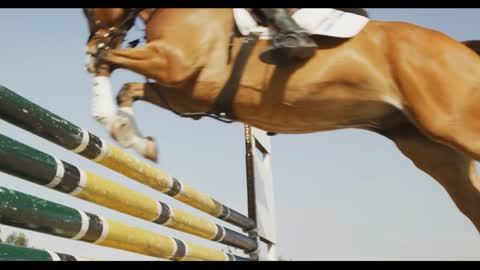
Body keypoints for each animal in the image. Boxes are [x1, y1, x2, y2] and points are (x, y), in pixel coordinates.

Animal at [84, 8, 480, 232]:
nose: (93, 41)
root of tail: (462, 48)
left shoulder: (175, 64)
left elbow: (109, 62)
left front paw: (104, 102)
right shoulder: (185, 92)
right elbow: (128, 88)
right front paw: (133, 138)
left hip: (454, 126)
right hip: (435, 154)